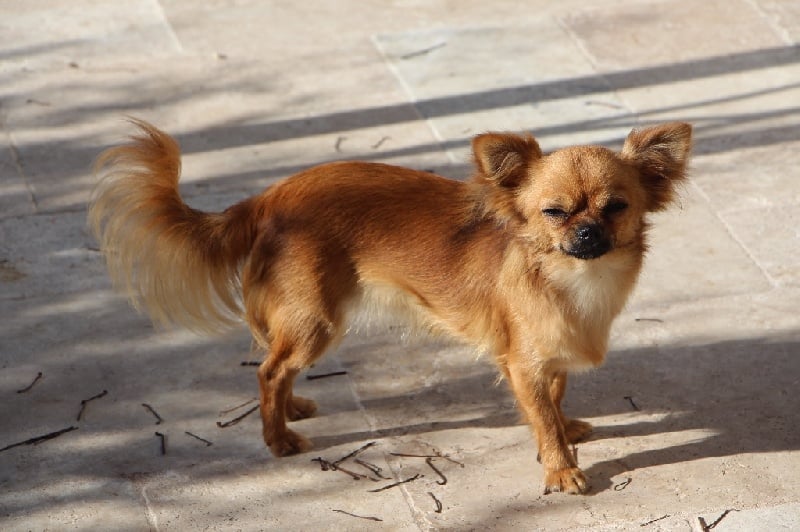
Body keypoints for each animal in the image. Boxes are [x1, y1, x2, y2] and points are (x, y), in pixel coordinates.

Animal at [89, 119, 691, 494]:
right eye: (554, 212)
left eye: (616, 208)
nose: (587, 233)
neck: (574, 278)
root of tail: (268, 197)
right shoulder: (524, 362)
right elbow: (540, 417)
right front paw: (560, 470)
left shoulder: (546, 357)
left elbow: (552, 403)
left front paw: (564, 432)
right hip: (317, 320)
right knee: (268, 370)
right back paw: (277, 438)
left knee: (277, 367)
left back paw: (292, 409)